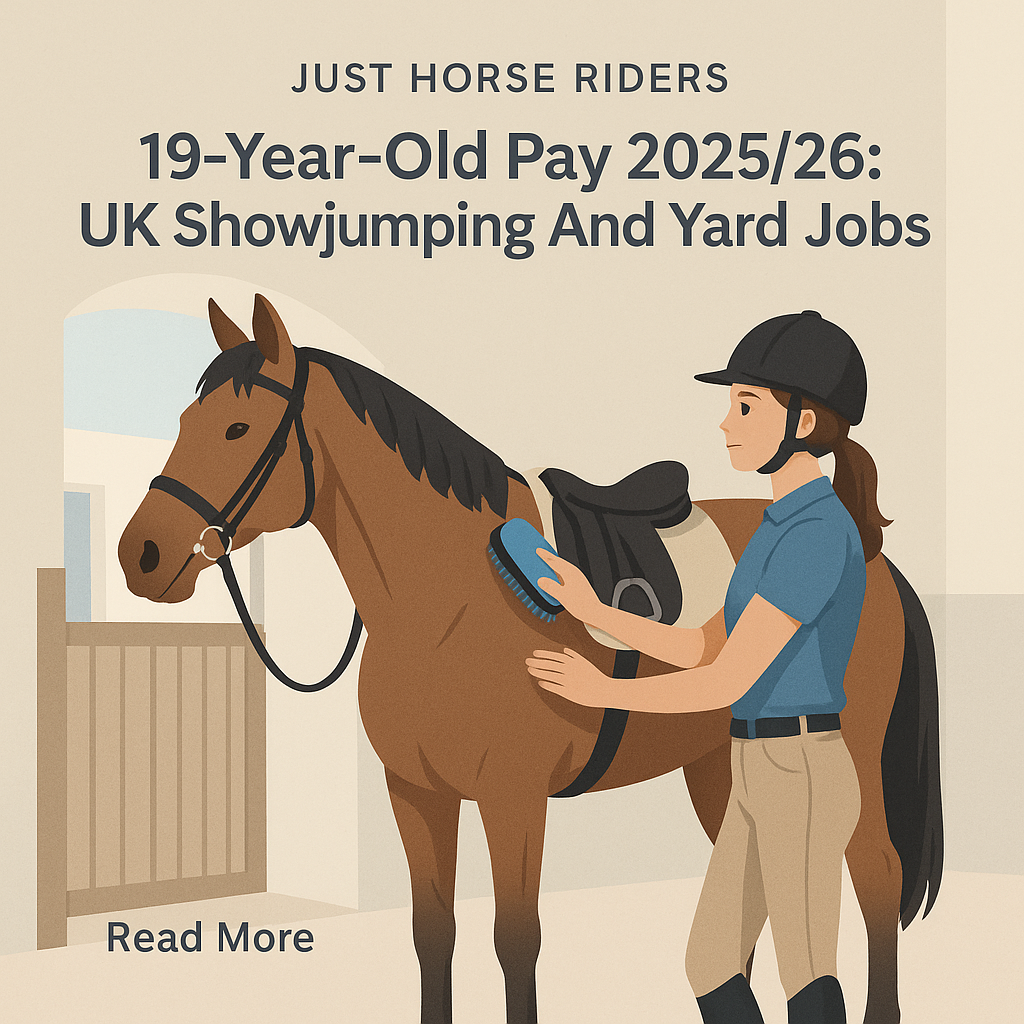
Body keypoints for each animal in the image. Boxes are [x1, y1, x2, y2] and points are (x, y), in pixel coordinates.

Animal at [118, 294, 941, 1024]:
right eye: (187, 420)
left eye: (236, 427)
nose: (141, 554)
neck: (448, 598)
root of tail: (874, 556)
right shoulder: (415, 794)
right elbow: (433, 936)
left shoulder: (513, 799)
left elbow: (515, 942)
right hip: (717, 769)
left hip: (849, 763)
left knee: (874, 878)